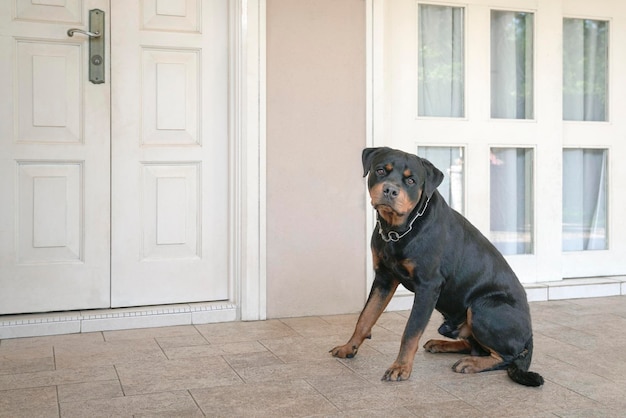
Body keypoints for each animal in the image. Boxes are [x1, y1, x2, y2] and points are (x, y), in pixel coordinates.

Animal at [332, 149, 540, 386]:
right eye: (381, 170)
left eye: (411, 180)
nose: (390, 190)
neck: (397, 230)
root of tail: (530, 335)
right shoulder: (384, 278)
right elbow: (365, 317)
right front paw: (348, 347)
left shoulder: (428, 286)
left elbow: (411, 331)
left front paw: (400, 367)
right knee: (476, 346)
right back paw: (442, 344)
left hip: (482, 308)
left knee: (505, 356)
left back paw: (471, 363)